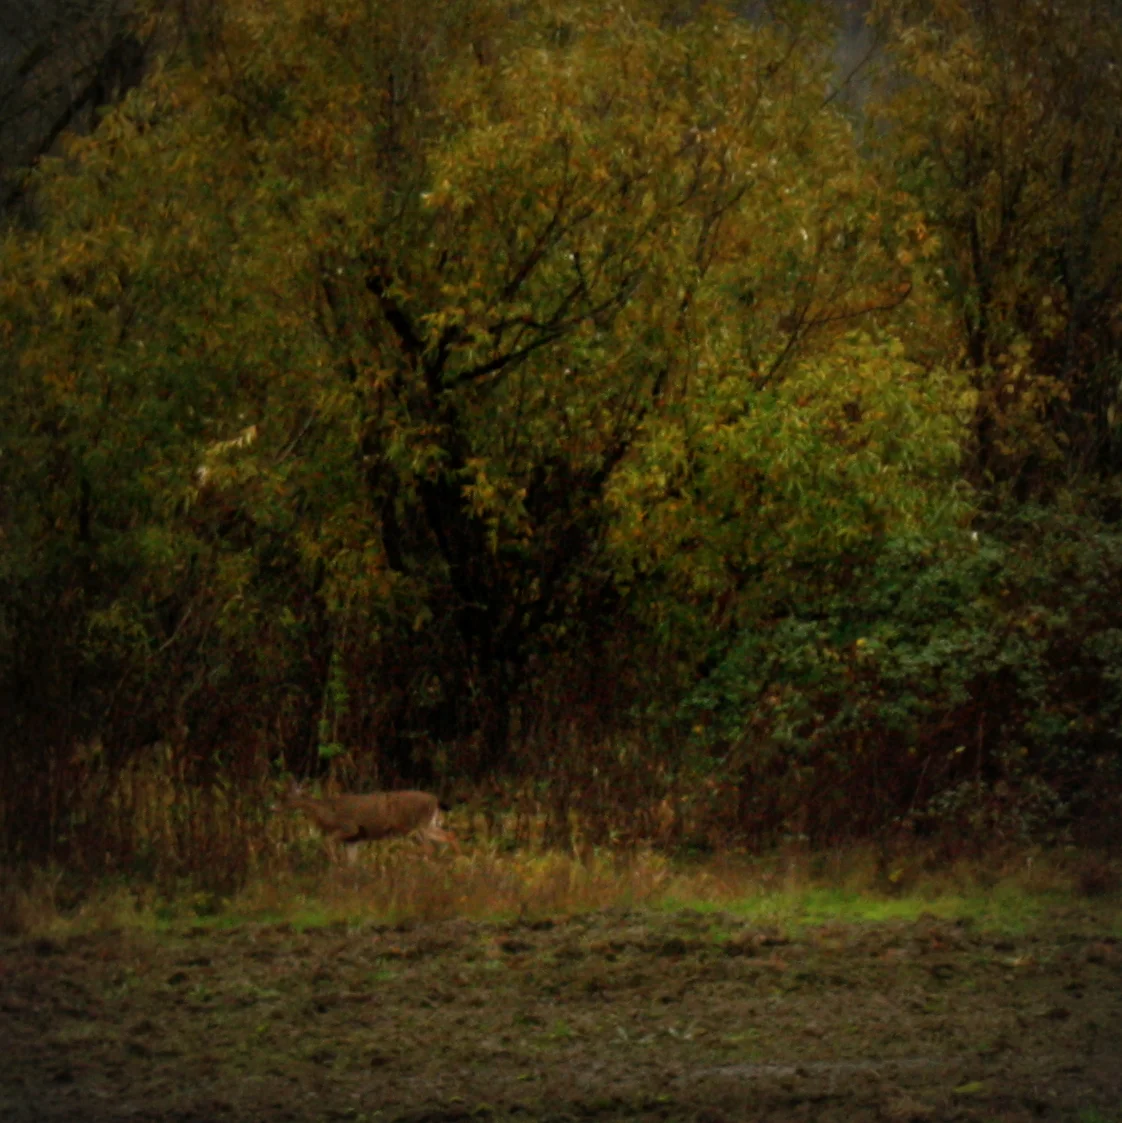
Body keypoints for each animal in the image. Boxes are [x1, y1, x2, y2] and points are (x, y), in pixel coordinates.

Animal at [283, 782, 460, 862]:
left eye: (287, 798)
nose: (276, 807)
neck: (328, 814)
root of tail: (435, 801)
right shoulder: (353, 840)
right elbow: (351, 862)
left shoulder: (350, 828)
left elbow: (327, 841)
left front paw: (334, 862)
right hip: (428, 824)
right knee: (449, 835)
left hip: (417, 825)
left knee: (430, 846)